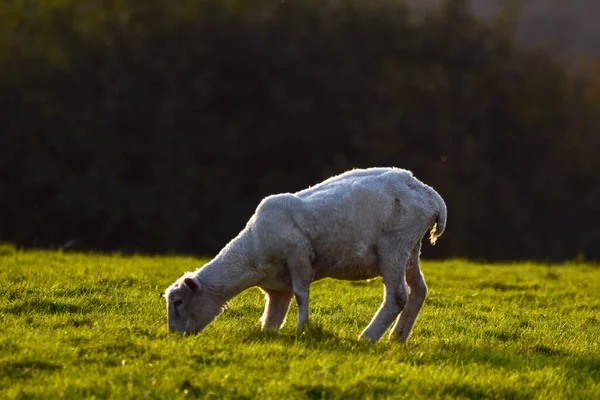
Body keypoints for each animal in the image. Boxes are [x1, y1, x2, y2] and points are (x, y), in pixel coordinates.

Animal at [164, 167, 446, 342]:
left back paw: (368, 337)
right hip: (412, 248)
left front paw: (303, 330)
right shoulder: (277, 287)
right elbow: (273, 316)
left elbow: (301, 294)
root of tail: (428, 193)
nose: (175, 336)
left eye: (177, 302)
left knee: (398, 296)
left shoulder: (298, 255)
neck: (251, 253)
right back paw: (397, 338)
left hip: (394, 246)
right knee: (419, 290)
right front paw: (269, 336)